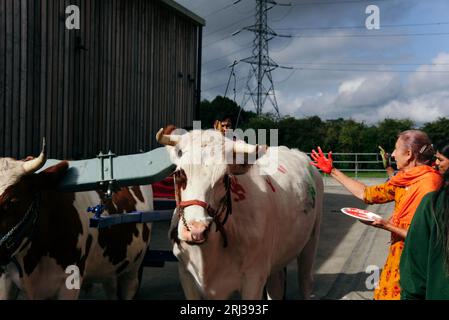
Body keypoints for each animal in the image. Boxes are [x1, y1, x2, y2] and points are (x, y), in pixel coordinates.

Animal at [157, 127, 322, 300]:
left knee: (305, 281)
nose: (196, 230)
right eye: (178, 173)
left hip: (311, 240)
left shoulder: (255, 277)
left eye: (224, 177)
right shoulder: (186, 274)